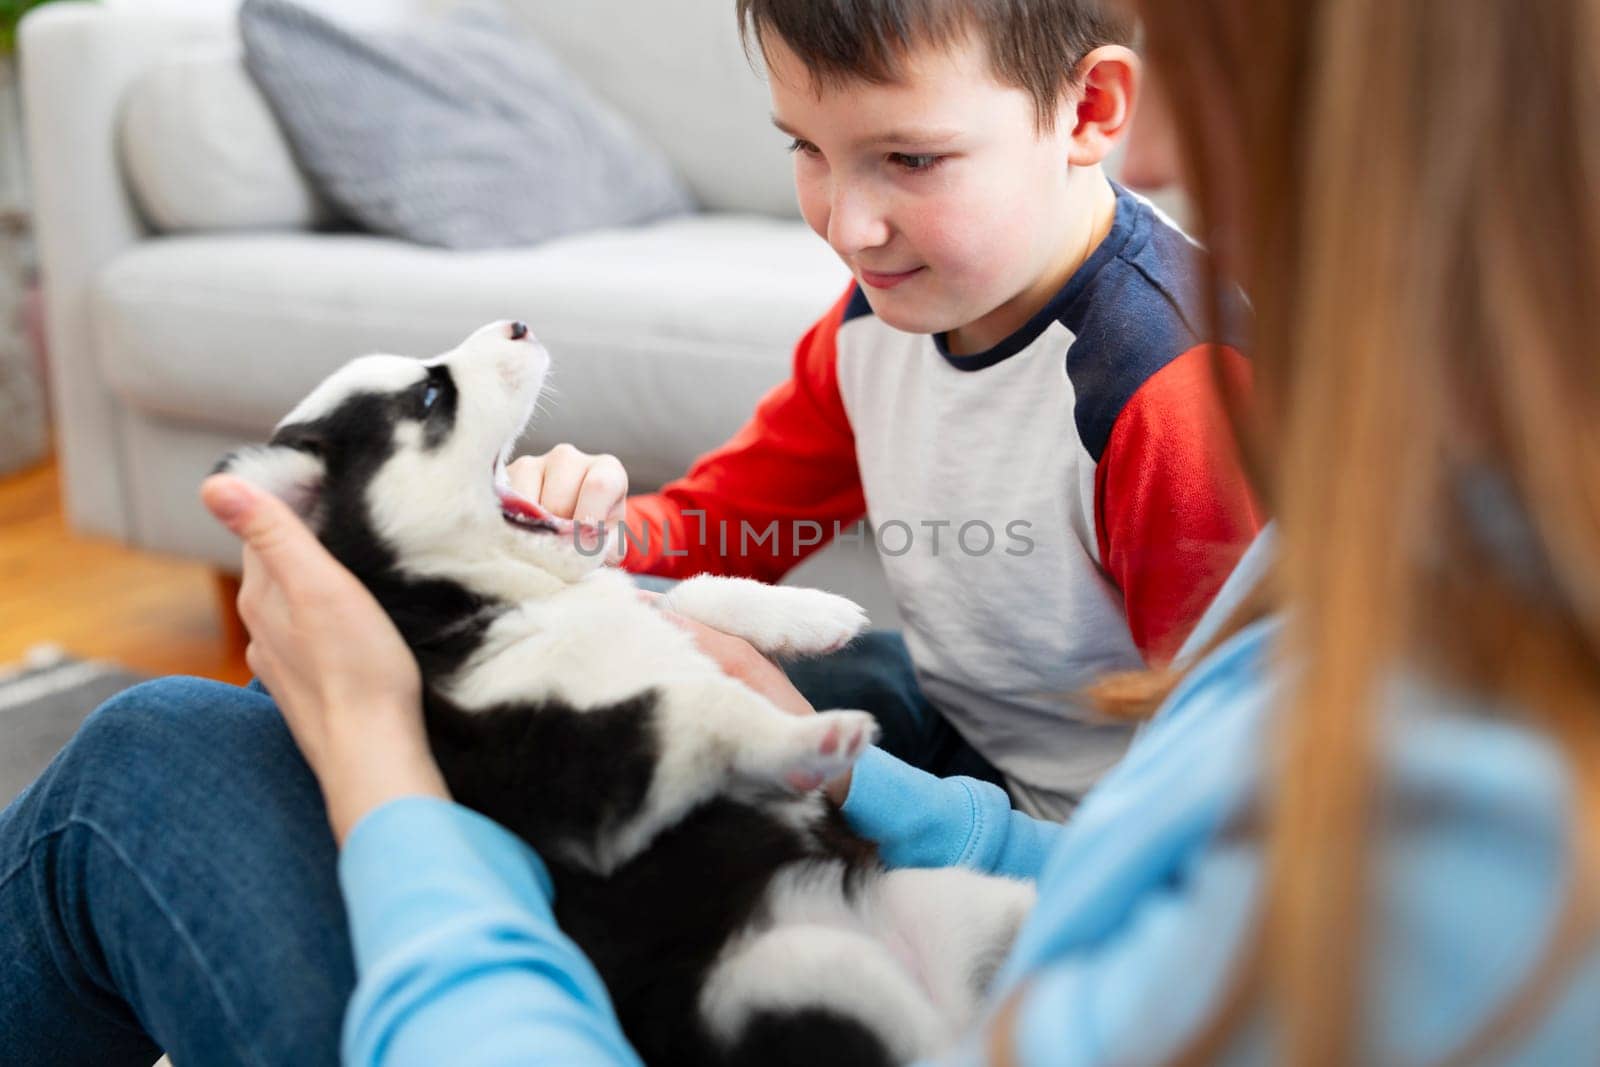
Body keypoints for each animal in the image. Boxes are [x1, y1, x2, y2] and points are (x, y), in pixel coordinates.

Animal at [216, 321, 1036, 1062]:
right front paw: (809, 736)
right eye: (429, 396)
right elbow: (698, 703)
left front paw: (808, 614)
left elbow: (695, 593)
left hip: (961, 900)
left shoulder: (638, 608)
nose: (518, 323)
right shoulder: (579, 774)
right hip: (791, 968)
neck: (509, 599)